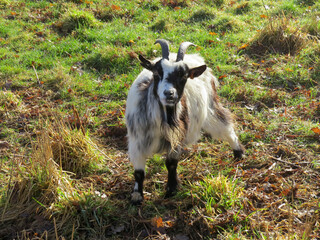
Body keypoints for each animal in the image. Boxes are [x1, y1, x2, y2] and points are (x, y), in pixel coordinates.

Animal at [125, 39, 245, 204]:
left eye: (184, 76)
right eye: (156, 73)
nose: (169, 93)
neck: (166, 118)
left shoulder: (177, 138)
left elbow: (171, 163)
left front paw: (171, 189)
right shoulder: (137, 140)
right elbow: (138, 171)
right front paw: (137, 196)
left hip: (211, 109)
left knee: (226, 126)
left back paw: (238, 153)